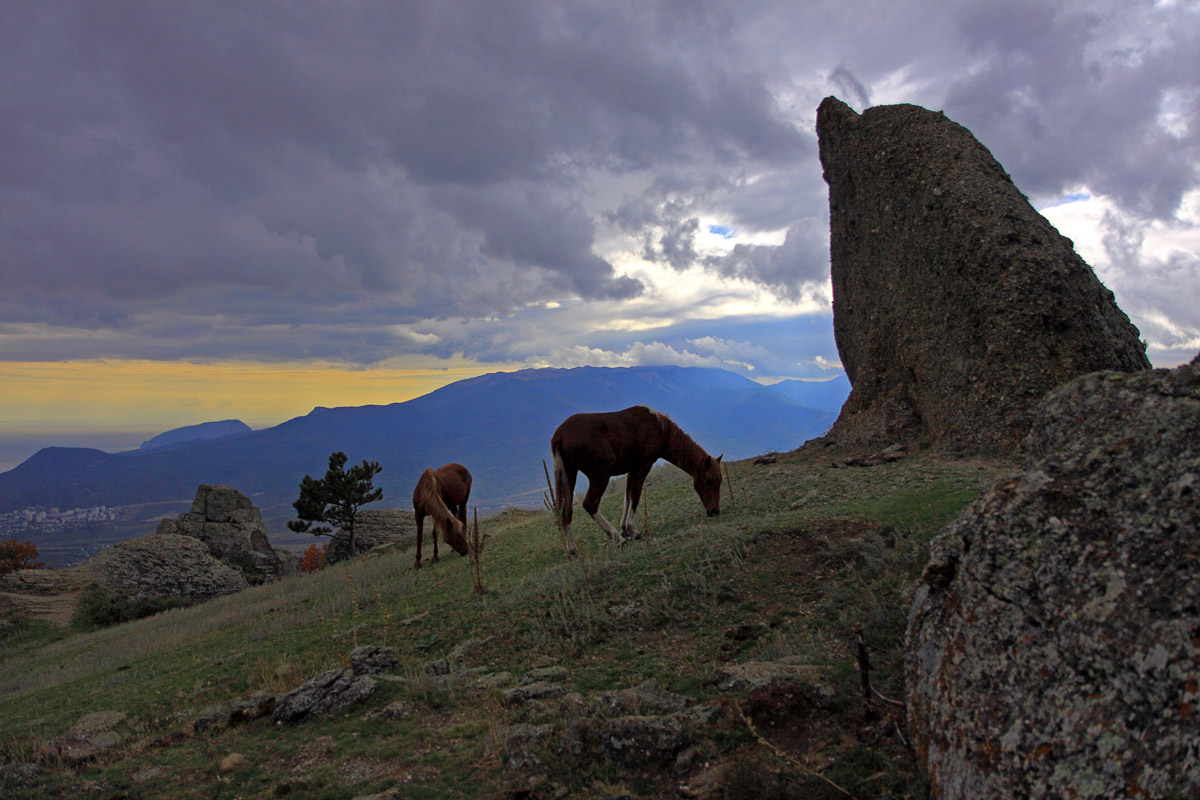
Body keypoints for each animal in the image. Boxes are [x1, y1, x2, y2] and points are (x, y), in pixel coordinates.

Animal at [549, 407, 720, 556]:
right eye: (709, 481)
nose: (715, 511)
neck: (658, 427)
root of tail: (560, 434)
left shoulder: (632, 469)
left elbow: (628, 496)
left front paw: (625, 528)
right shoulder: (643, 465)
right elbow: (635, 495)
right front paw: (632, 530)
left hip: (570, 474)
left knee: (566, 510)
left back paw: (572, 549)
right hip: (600, 475)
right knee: (590, 504)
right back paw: (618, 538)